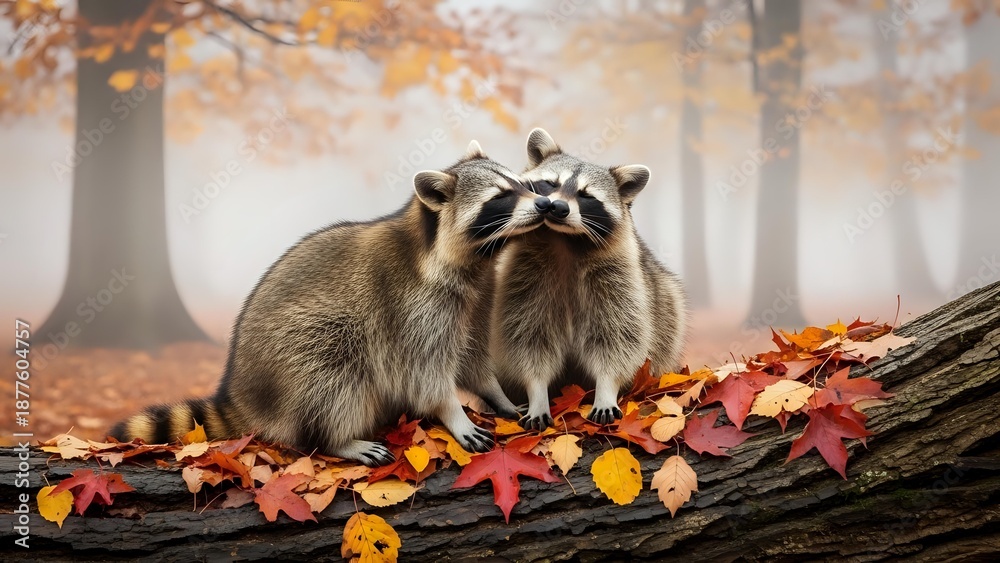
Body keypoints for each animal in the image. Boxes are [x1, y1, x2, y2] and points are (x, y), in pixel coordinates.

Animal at [112, 141, 544, 466]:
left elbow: (472, 356)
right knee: (333, 372)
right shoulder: (411, 309)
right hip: (304, 348)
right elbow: (424, 374)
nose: (543, 204)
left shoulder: (476, 298)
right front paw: (452, 412)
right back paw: (337, 439)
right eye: (501, 197)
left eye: (523, 184)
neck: (468, 258)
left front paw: (496, 393)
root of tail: (239, 392)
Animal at [492, 128, 687, 430]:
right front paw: (536, 391)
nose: (557, 207)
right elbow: (527, 338)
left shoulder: (620, 279)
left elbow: (618, 338)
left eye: (586, 196)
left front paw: (607, 387)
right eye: (549, 184)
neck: (564, 240)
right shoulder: (523, 278)